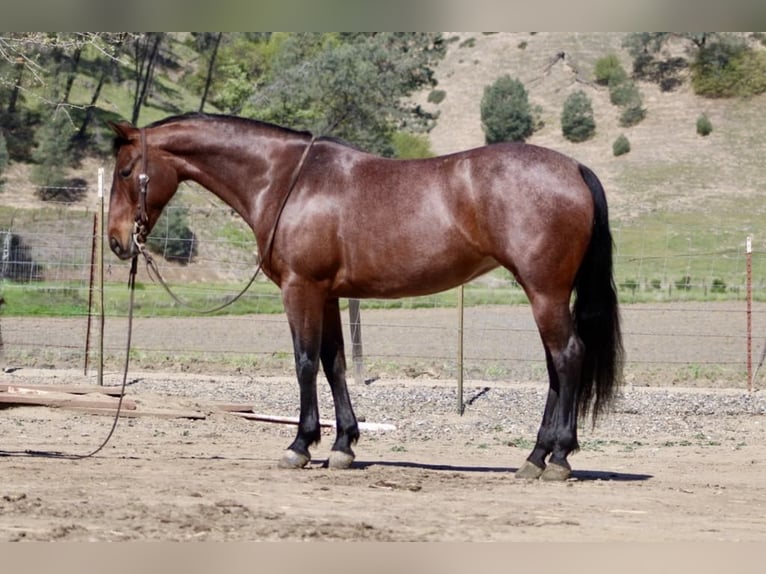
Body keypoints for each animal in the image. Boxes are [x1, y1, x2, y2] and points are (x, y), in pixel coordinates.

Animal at [107, 112, 623, 481]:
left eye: (127, 171)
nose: (116, 241)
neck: (286, 180)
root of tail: (575, 167)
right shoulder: (328, 295)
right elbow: (334, 362)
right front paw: (342, 446)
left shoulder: (300, 288)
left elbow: (305, 362)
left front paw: (299, 446)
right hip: (544, 295)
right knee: (556, 367)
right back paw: (536, 455)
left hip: (544, 292)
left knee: (568, 357)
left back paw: (556, 458)